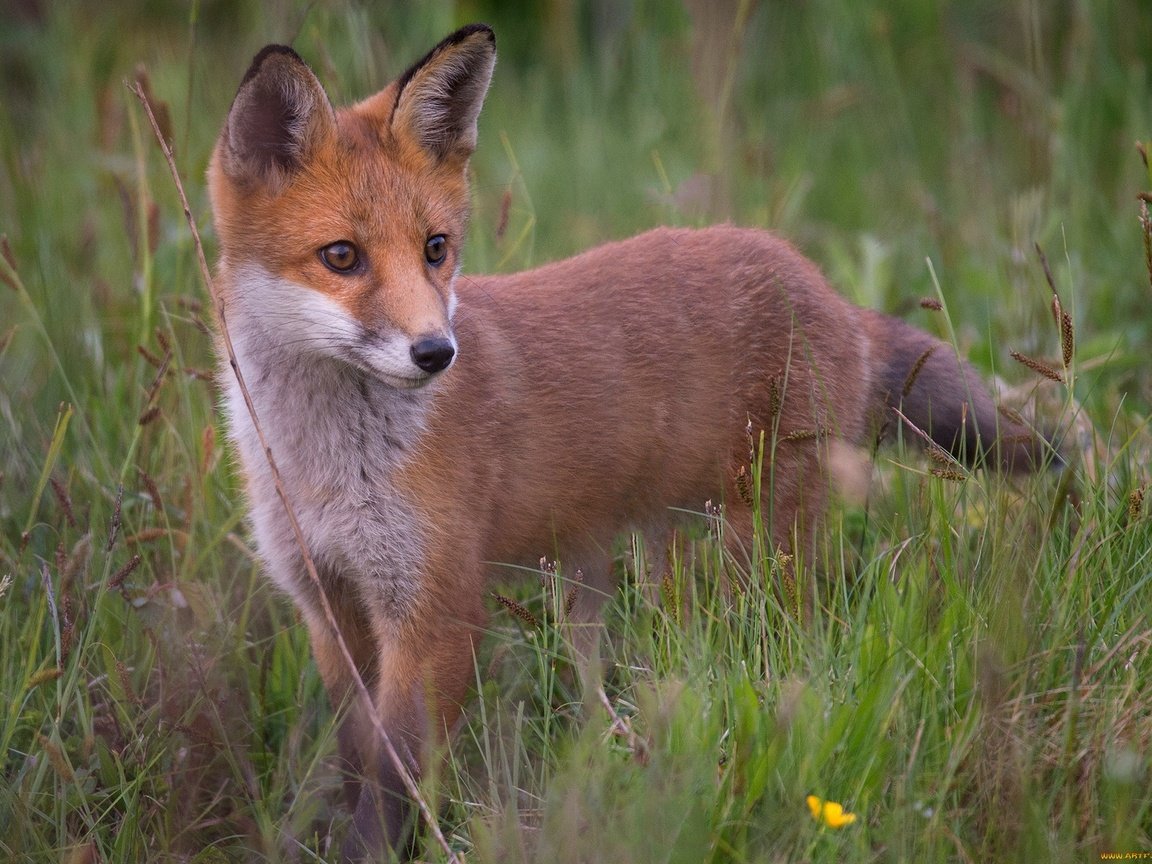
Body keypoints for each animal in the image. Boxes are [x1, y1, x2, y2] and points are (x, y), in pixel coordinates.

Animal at [205, 23, 1046, 861]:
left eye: (435, 249)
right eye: (341, 256)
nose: (437, 352)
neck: (328, 471)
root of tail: (830, 292)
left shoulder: (435, 611)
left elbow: (393, 778)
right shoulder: (330, 605)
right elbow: (358, 763)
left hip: (759, 553)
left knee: (791, 648)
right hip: (661, 547)